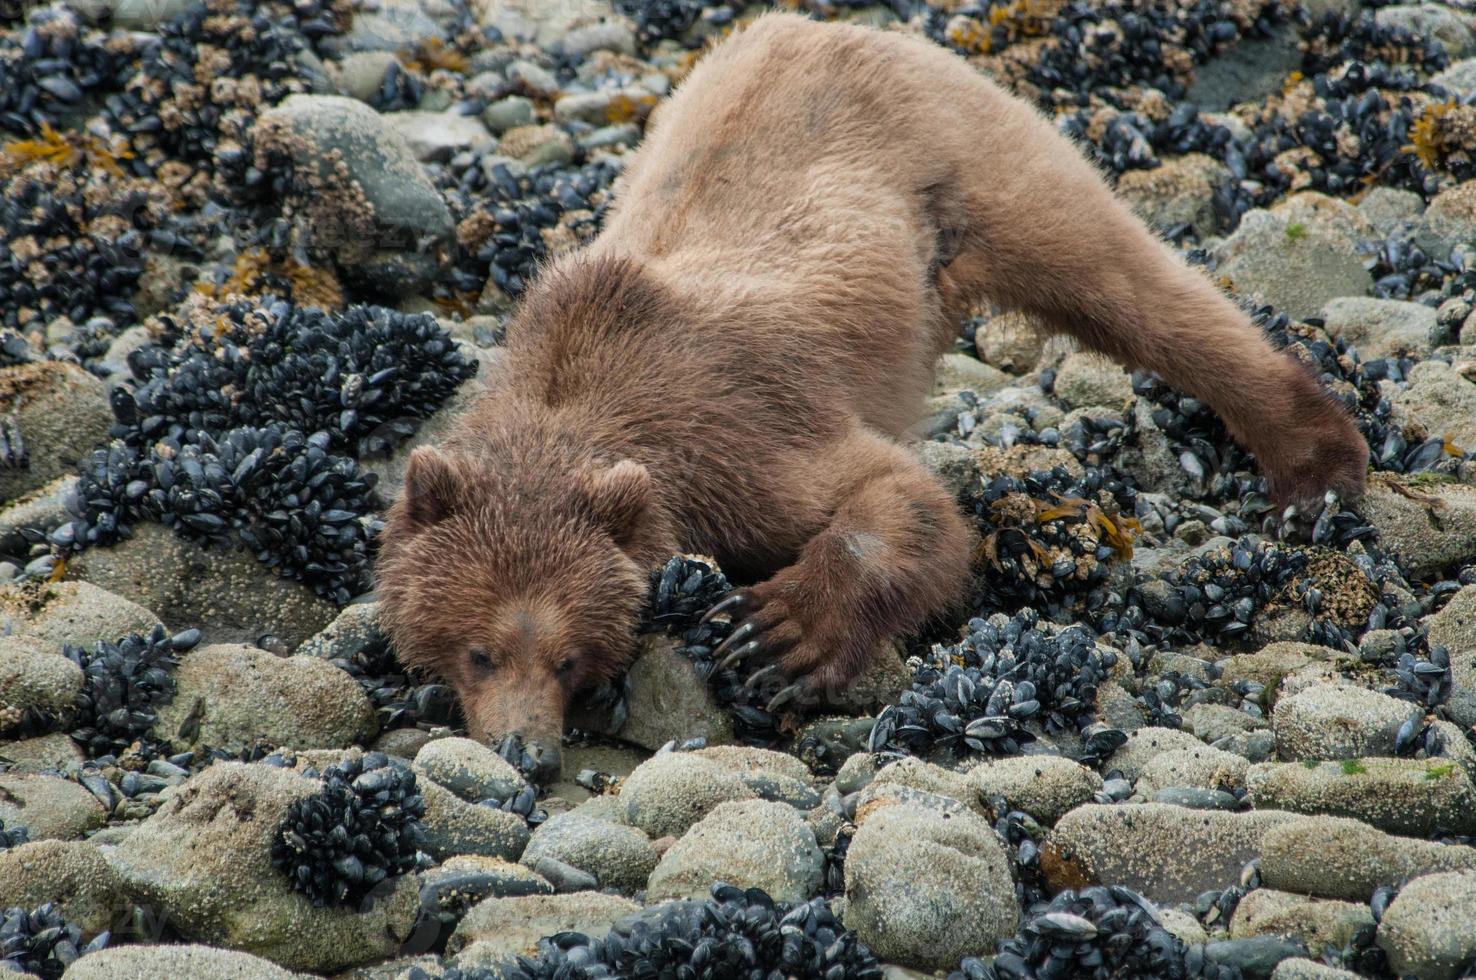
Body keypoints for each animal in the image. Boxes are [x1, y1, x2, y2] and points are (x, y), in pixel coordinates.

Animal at [374, 7, 1363, 773]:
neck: (570, 395)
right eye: (478, 650)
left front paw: (773, 634)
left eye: (570, 659)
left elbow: (898, 496)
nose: (527, 753)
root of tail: (845, 27)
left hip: (978, 162)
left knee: (1129, 284)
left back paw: (1313, 472)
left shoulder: (728, 435)